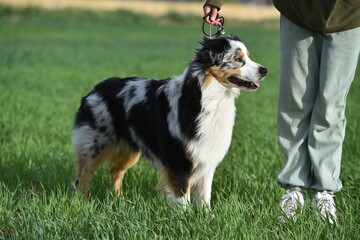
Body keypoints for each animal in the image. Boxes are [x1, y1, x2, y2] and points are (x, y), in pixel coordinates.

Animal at [71, 34, 266, 209]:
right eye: (238, 59)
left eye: (248, 56)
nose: (265, 70)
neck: (208, 97)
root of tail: (96, 88)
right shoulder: (178, 159)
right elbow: (182, 197)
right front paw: (185, 220)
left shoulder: (206, 158)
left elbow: (204, 197)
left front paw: (207, 218)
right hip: (96, 145)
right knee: (82, 174)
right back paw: (83, 202)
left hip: (131, 148)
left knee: (115, 171)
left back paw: (120, 200)